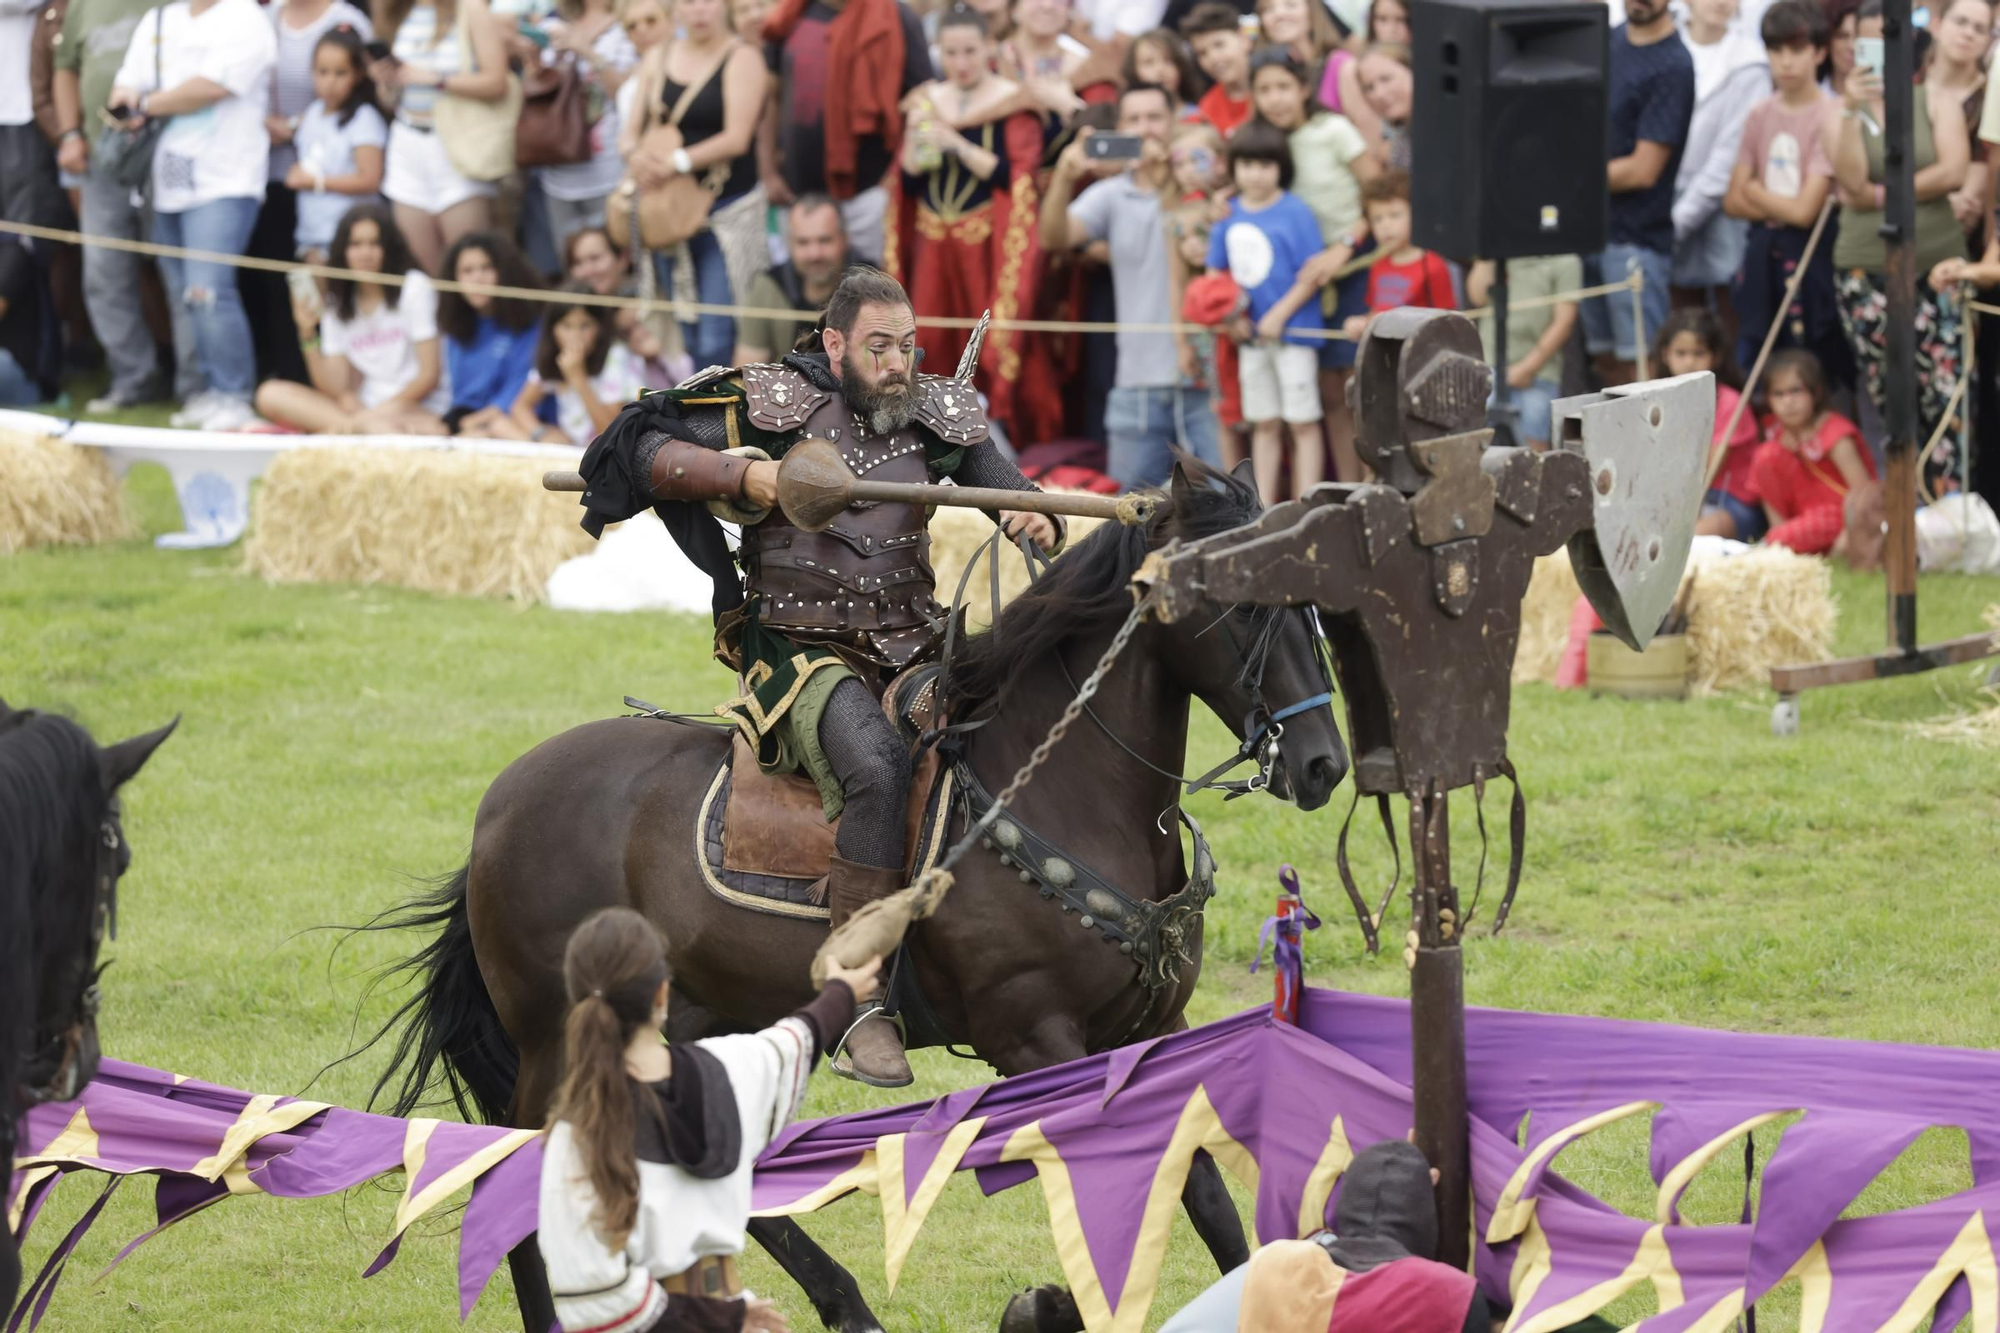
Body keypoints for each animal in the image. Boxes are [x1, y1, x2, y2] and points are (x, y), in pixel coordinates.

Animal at [368, 462, 1352, 1320]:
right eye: (1243, 602)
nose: (1321, 763)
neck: (1054, 782)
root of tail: (497, 810)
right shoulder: (1037, 1039)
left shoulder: (1150, 1030)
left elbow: (1209, 1198)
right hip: (559, 1037)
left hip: (684, 1025)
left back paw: (843, 1305)